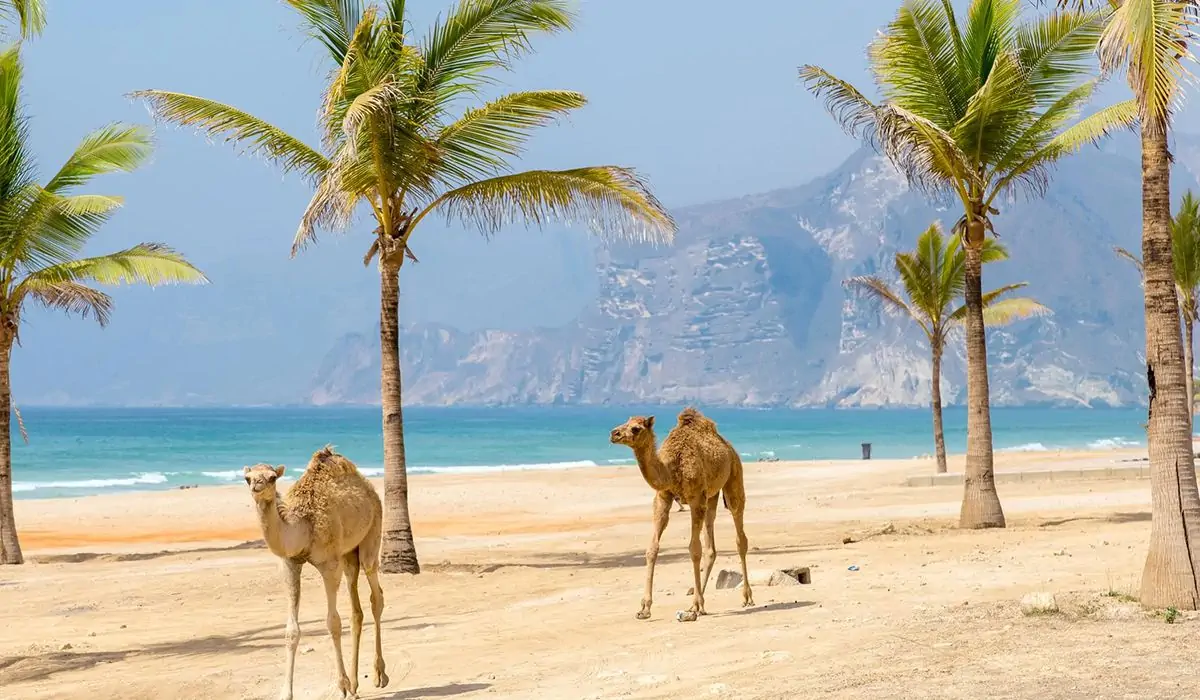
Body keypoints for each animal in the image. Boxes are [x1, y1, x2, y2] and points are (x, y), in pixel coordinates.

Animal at [242, 446, 388, 700]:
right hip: (348, 554)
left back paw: (378, 676)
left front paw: (341, 686)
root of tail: (368, 488)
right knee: (356, 609)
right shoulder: (290, 564)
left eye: (272, 477)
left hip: (372, 532)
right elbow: (291, 631)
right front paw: (286, 693)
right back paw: (356, 686)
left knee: (375, 594)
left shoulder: (329, 565)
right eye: (248, 478)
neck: (303, 526)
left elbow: (333, 623)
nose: (257, 486)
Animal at [609, 408, 748, 619]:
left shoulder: (696, 498)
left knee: (739, 532)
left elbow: (694, 549)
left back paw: (745, 598)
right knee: (711, 546)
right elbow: (652, 549)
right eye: (626, 422)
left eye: (636, 428)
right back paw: (697, 605)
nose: (614, 433)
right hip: (712, 495)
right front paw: (644, 608)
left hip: (733, 475)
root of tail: (729, 447)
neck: (672, 468)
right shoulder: (663, 498)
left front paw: (696, 605)